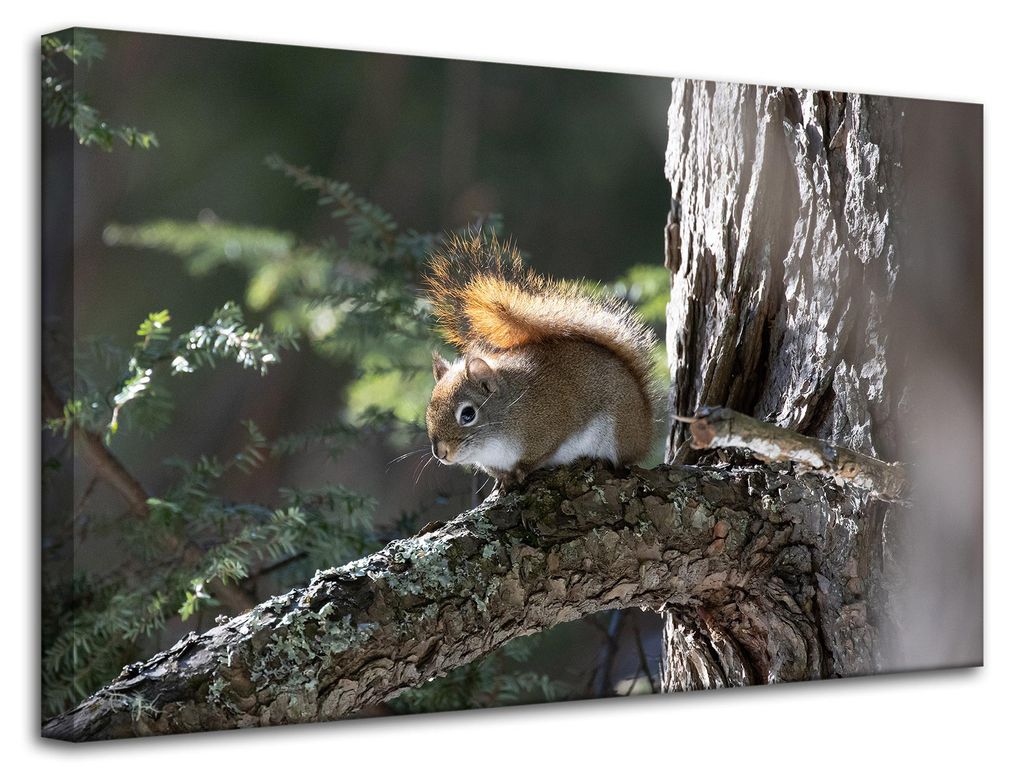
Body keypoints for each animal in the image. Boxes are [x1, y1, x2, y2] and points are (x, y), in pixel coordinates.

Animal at [424, 231, 657, 488]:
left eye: (468, 414)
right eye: (429, 411)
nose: (441, 453)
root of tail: (645, 428)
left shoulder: (547, 427)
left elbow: (537, 456)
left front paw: (520, 472)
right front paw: (502, 480)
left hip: (619, 430)